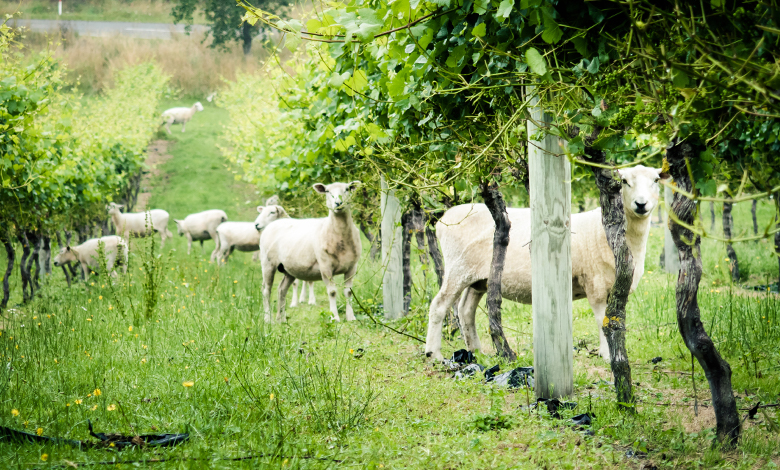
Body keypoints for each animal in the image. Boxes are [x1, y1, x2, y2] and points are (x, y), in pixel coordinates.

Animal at [258, 180, 362, 324]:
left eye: (347, 189)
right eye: (327, 191)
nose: (338, 203)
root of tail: (273, 224)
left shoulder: (352, 267)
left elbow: (348, 292)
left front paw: (351, 317)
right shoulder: (325, 266)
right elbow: (332, 292)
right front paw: (334, 317)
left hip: (288, 269)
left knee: (281, 290)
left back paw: (282, 318)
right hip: (268, 264)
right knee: (266, 291)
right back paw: (268, 318)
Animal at [424, 167, 668, 362]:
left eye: (656, 180)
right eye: (624, 181)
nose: (641, 204)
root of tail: (444, 219)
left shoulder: (617, 288)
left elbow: (614, 320)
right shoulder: (595, 284)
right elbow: (602, 321)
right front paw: (608, 356)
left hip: (479, 277)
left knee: (465, 310)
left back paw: (476, 350)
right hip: (457, 268)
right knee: (439, 305)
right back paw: (434, 354)